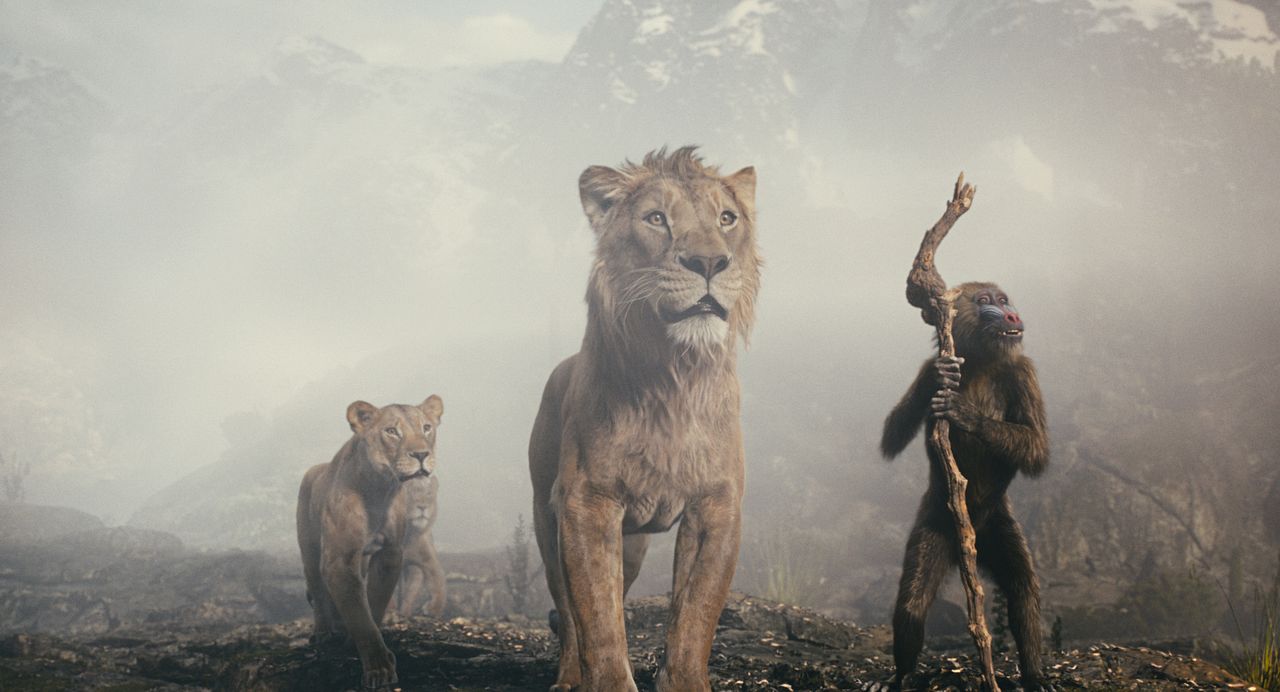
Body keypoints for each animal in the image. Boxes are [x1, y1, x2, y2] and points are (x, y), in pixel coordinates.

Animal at [393, 473, 447, 618]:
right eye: (409, 493)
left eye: (428, 494)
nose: (422, 507)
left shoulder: (426, 561)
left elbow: (438, 581)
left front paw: (434, 608)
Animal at [529, 146, 761, 692]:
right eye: (656, 219)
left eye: (727, 218)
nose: (709, 262)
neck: (674, 377)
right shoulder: (586, 503)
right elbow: (598, 619)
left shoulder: (717, 506)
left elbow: (695, 616)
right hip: (547, 519)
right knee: (568, 613)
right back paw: (568, 677)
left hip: (632, 544)